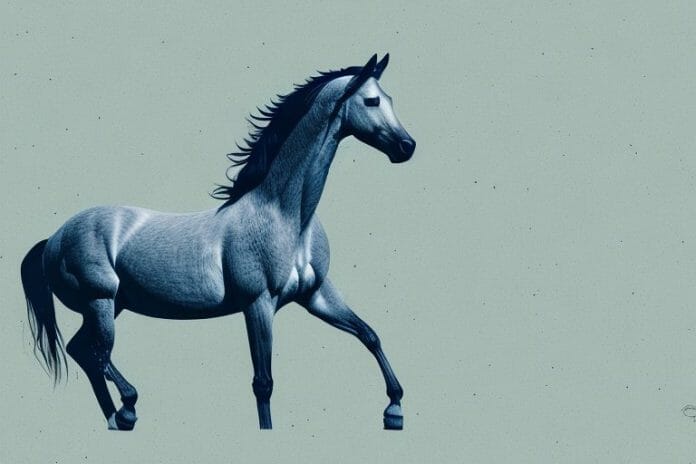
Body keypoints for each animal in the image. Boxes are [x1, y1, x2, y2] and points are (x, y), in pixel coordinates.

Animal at [20, 53, 416, 431]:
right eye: (372, 100)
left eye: (390, 98)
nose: (407, 147)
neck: (284, 215)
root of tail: (53, 238)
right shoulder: (258, 304)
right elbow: (263, 383)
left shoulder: (316, 295)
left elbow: (369, 335)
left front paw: (394, 409)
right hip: (99, 302)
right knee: (95, 354)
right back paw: (127, 409)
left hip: (112, 305)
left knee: (82, 351)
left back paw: (117, 419)